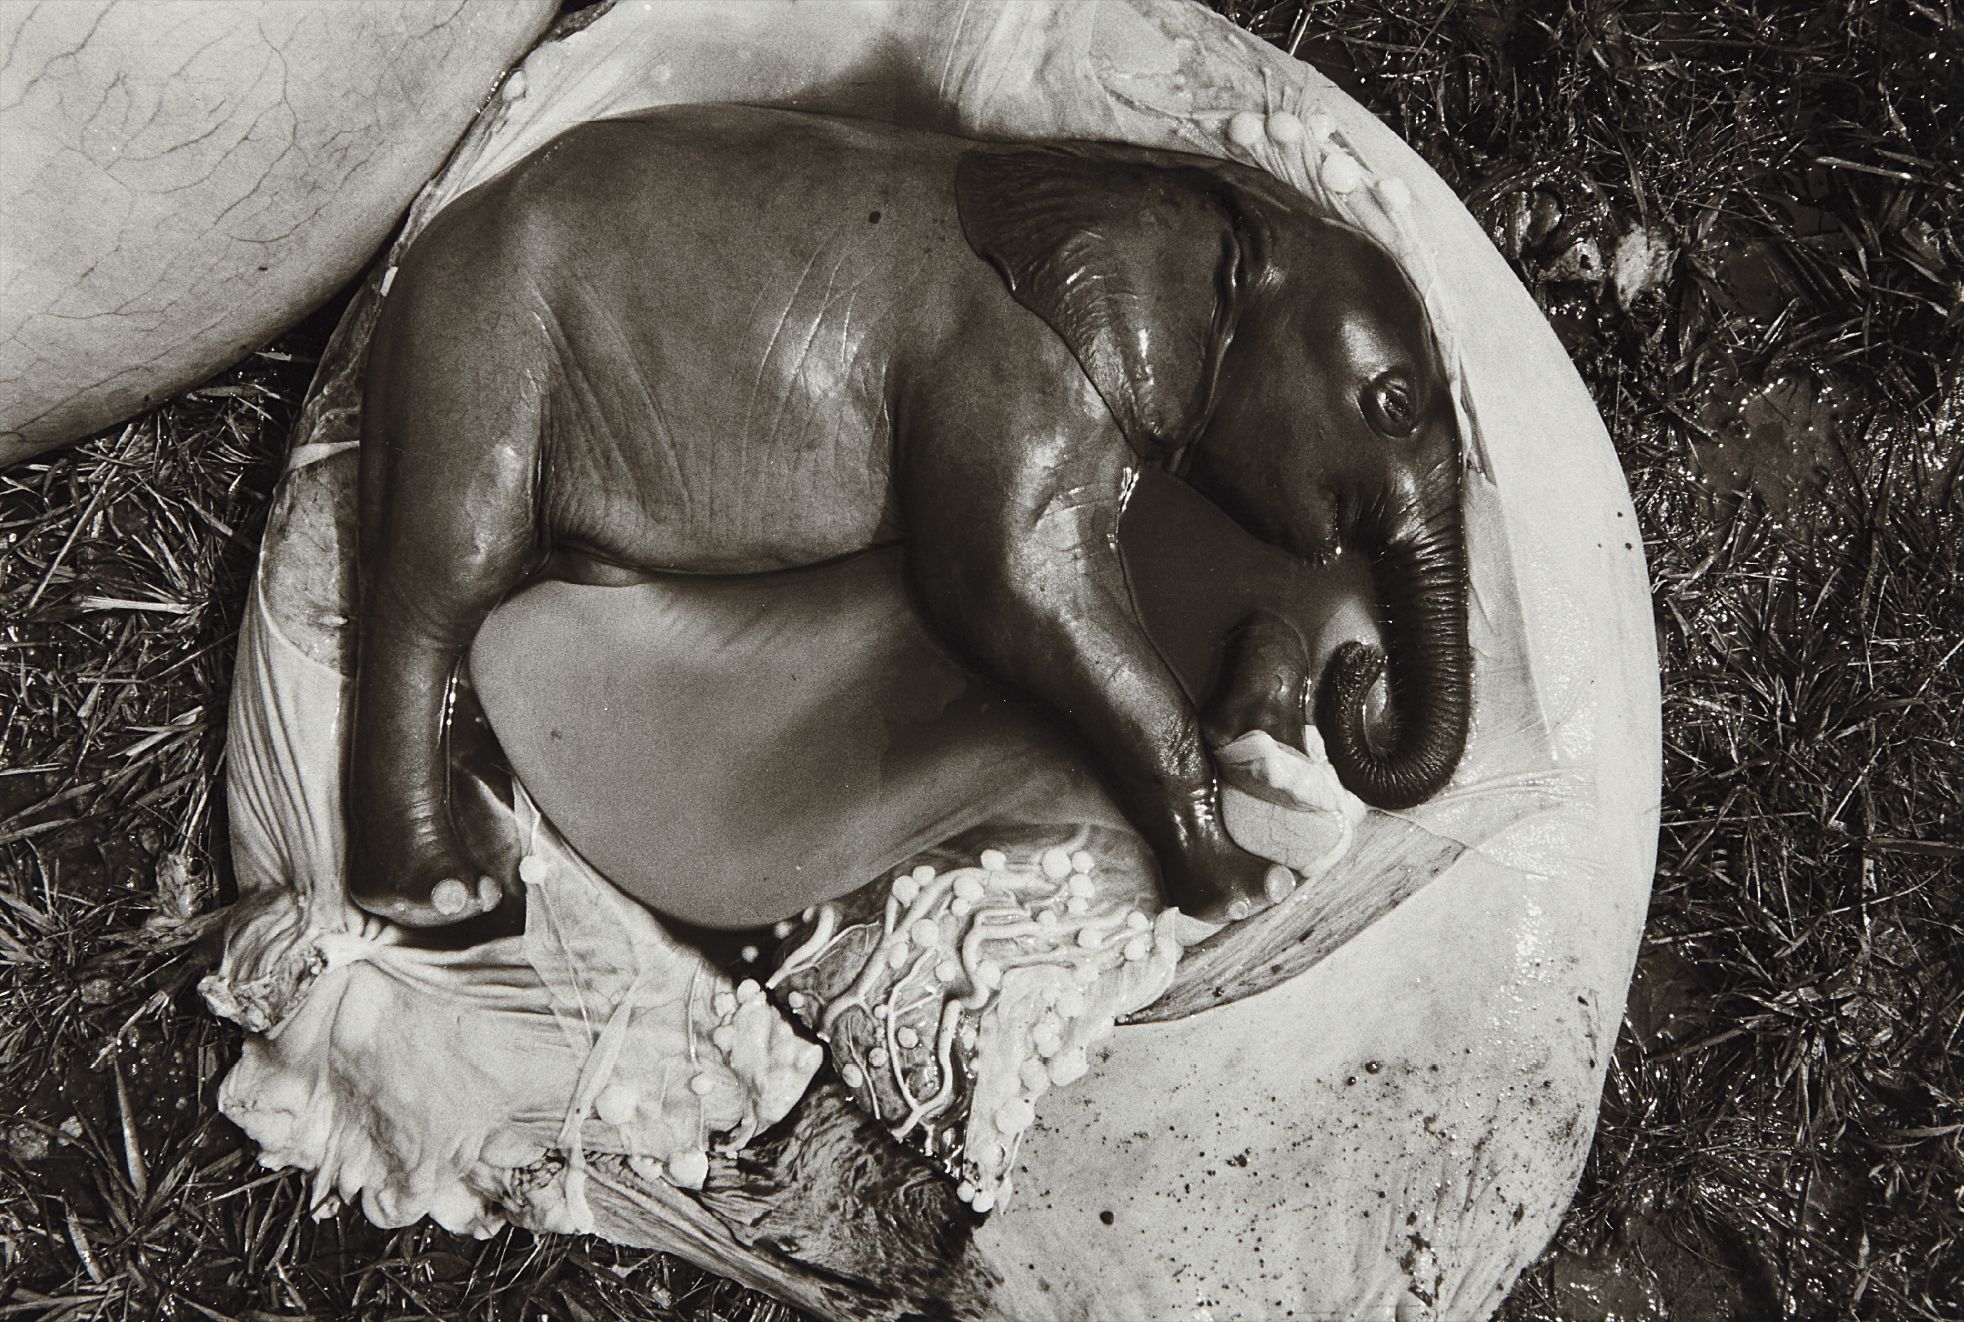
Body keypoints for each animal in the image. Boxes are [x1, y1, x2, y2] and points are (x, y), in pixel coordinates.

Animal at [349, 101, 1470, 930]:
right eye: (1392, 403)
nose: (1356, 668)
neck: (1161, 185)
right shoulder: (1007, 367)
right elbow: (1003, 589)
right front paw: (1246, 891)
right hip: (481, 344)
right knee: (447, 574)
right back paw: (440, 895)